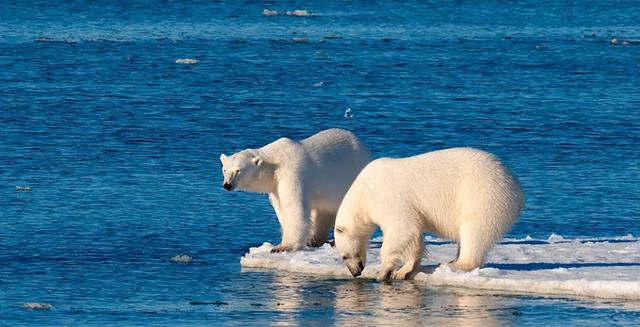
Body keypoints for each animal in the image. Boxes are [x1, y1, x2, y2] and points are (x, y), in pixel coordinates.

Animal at [220, 129, 370, 254]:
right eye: (225, 170)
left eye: (238, 170)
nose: (227, 185)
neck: (275, 162)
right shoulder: (275, 185)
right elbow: (281, 209)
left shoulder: (292, 172)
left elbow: (292, 206)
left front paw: (284, 247)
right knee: (323, 210)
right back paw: (315, 240)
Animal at [332, 149, 524, 282]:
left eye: (344, 256)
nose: (355, 272)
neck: (364, 192)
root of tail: (517, 190)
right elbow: (413, 237)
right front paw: (403, 271)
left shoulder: (388, 199)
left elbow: (401, 229)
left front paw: (383, 271)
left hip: (482, 196)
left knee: (474, 231)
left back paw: (455, 263)